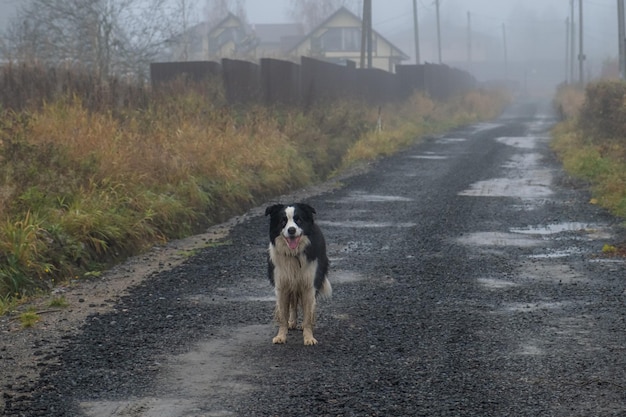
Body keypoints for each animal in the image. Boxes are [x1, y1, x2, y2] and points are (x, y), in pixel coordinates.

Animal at [264, 202, 332, 344]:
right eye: (283, 221)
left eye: (298, 220)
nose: (291, 230)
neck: (293, 254)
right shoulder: (282, 285)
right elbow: (283, 314)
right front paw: (281, 336)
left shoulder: (309, 285)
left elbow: (307, 314)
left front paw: (309, 337)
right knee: (293, 304)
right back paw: (292, 322)